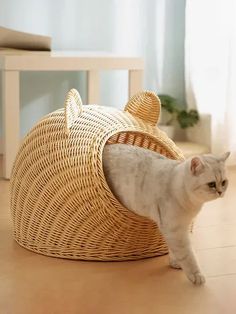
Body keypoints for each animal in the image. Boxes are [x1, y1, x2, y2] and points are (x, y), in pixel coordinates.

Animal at [102, 144, 230, 284]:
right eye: (211, 184)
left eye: (224, 182)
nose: (220, 192)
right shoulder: (174, 231)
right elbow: (187, 255)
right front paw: (196, 275)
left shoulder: (180, 229)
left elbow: (175, 251)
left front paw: (175, 263)